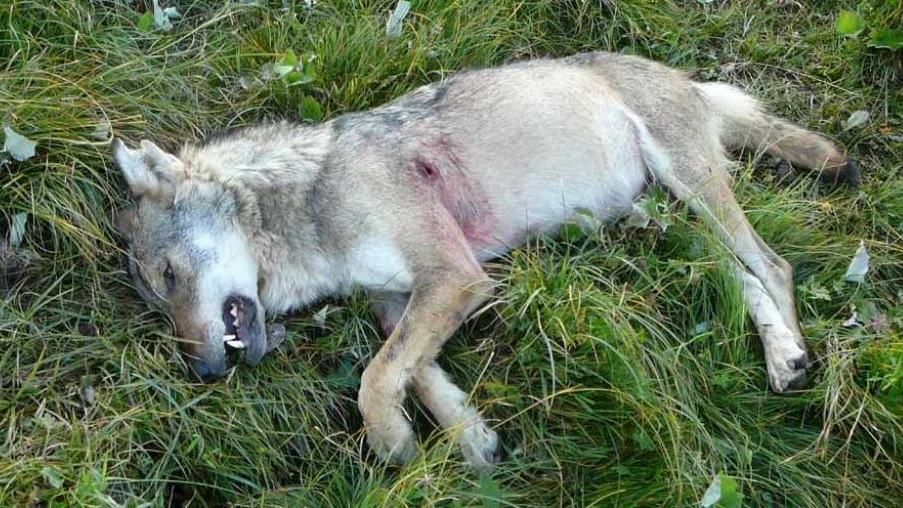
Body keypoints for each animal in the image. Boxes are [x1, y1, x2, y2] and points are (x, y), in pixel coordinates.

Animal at [112, 51, 858, 468]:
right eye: (159, 300)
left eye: (171, 277)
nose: (203, 372)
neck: (310, 203)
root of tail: (684, 78)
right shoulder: (399, 302)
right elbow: (417, 376)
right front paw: (473, 442)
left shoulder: (454, 277)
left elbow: (375, 380)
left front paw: (391, 443)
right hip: (661, 228)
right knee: (742, 279)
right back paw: (781, 356)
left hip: (692, 191)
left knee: (772, 265)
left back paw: (796, 361)